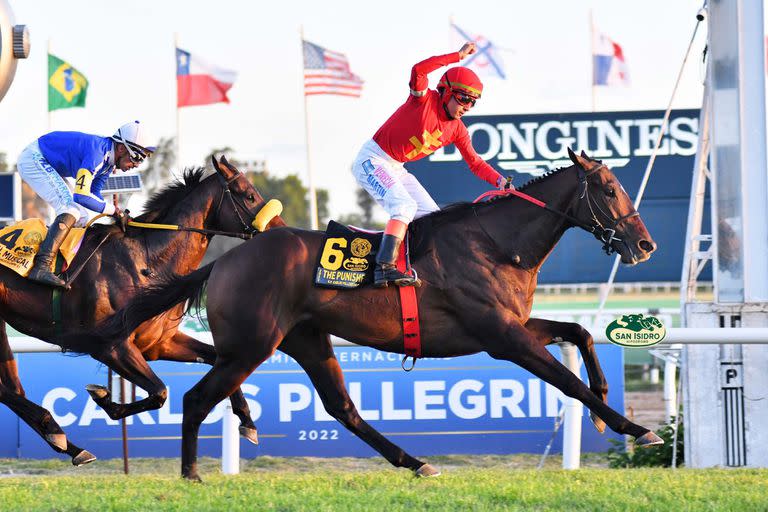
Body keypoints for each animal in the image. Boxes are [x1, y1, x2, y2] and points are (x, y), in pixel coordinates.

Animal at [0, 156, 284, 464]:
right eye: (249, 195)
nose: (280, 229)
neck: (147, 261)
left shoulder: (160, 343)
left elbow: (217, 360)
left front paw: (248, 422)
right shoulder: (110, 346)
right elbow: (159, 392)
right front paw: (104, 398)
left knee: (11, 388)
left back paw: (68, 444)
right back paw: (56, 431)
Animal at [81, 148, 664, 480]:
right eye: (608, 189)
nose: (645, 244)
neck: (497, 244)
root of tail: (224, 261)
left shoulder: (510, 326)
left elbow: (579, 332)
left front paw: (606, 409)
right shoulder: (500, 335)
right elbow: (568, 381)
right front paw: (636, 428)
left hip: (306, 340)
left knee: (342, 409)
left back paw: (415, 462)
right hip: (252, 345)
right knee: (197, 398)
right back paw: (192, 475)